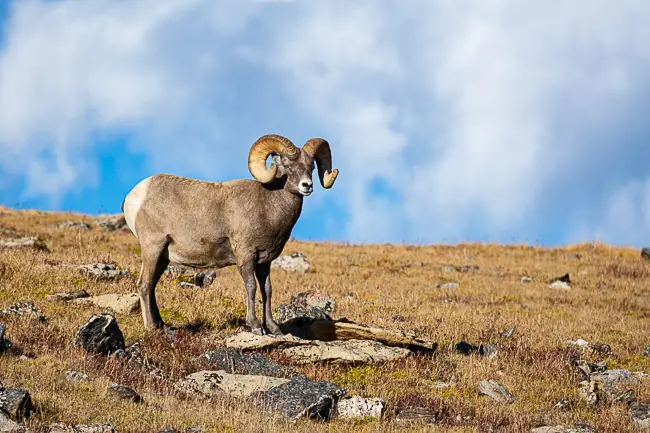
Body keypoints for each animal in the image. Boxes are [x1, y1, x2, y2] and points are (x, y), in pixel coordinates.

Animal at [121, 134, 338, 335]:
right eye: (286, 165)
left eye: (311, 167)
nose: (307, 186)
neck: (268, 205)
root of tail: (134, 196)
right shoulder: (246, 256)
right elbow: (251, 287)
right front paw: (255, 326)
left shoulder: (265, 262)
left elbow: (267, 290)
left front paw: (274, 328)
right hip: (153, 248)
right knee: (144, 285)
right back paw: (151, 327)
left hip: (163, 257)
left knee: (151, 285)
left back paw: (162, 326)